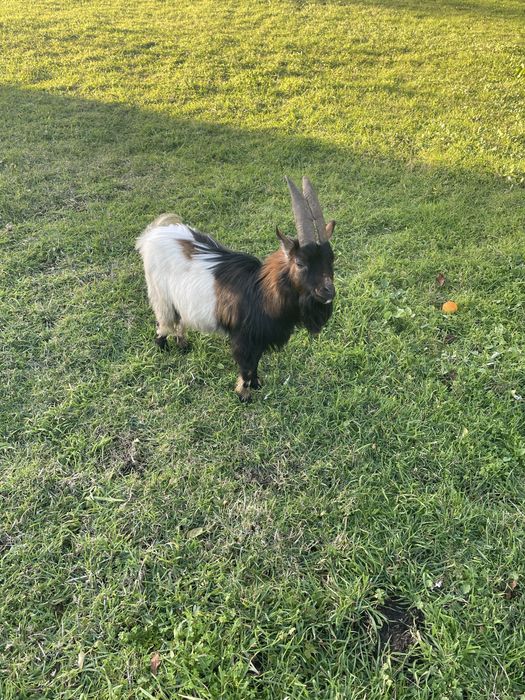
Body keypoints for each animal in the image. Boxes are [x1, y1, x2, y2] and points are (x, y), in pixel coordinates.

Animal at [136, 176, 335, 402]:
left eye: (332, 259)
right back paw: (163, 347)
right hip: (160, 293)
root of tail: (153, 233)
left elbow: (255, 363)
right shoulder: (244, 338)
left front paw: (257, 385)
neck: (260, 294)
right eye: (300, 263)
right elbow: (246, 367)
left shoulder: (258, 339)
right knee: (164, 321)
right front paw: (244, 395)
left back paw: (183, 345)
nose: (328, 292)